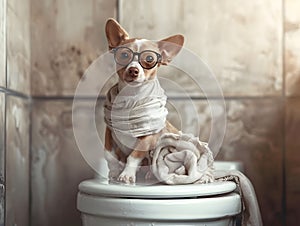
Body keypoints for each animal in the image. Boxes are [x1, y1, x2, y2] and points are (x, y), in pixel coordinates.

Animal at [103, 17, 183, 184]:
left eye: (150, 59)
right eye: (124, 55)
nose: (133, 70)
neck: (131, 99)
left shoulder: (147, 137)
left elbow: (133, 156)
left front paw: (127, 174)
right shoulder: (109, 131)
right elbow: (109, 155)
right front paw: (114, 171)